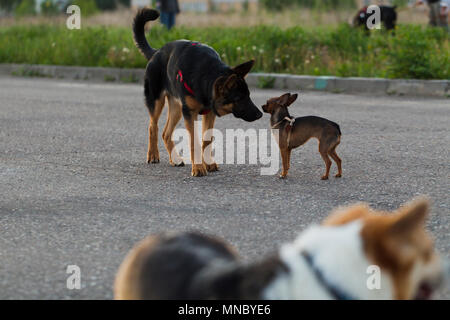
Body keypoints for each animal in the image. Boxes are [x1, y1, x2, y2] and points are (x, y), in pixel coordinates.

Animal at [132, 8, 262, 178]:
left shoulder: (209, 113)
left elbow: (207, 140)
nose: (260, 115)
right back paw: (153, 154)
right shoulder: (190, 113)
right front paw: (198, 167)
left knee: (166, 133)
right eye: (240, 98)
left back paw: (175, 159)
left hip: (177, 109)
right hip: (157, 102)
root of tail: (156, 52)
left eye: (249, 95)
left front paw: (208, 163)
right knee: (153, 127)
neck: (207, 75)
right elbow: (194, 141)